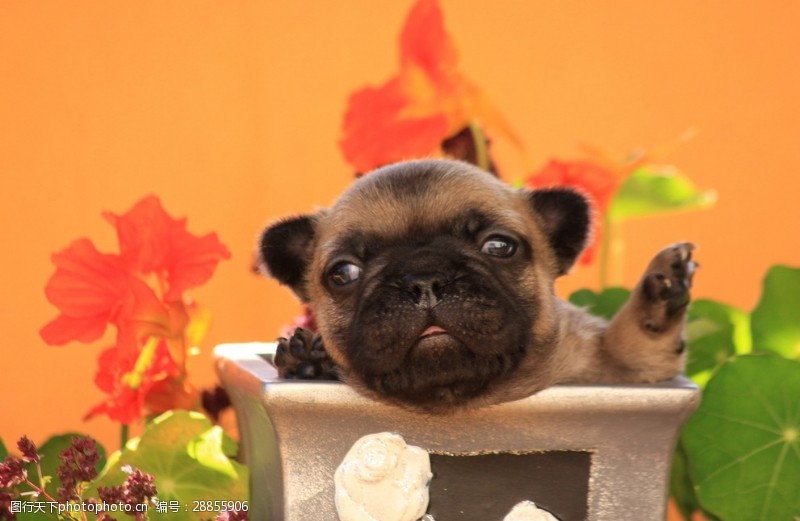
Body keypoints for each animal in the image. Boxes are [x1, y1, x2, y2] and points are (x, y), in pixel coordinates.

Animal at [260, 158, 696, 410]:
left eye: (499, 246)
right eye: (344, 273)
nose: (424, 278)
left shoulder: (629, 370)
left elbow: (633, 343)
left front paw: (659, 292)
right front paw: (309, 361)